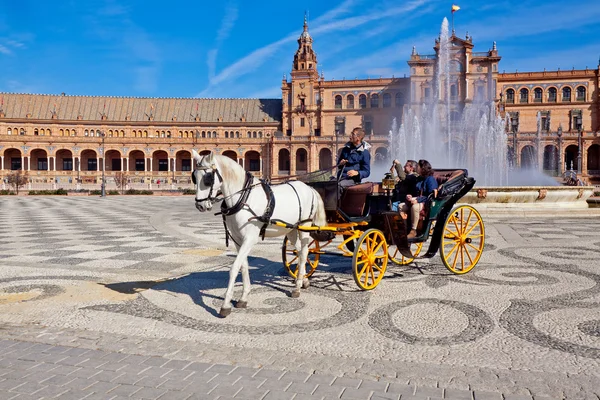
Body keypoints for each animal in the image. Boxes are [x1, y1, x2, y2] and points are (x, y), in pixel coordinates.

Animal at [192, 152, 326, 318]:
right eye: (194, 176)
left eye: (208, 177)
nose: (200, 205)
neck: (243, 198)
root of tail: (309, 187)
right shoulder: (238, 240)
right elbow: (243, 266)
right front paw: (243, 298)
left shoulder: (250, 239)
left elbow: (234, 268)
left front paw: (225, 305)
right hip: (292, 229)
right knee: (300, 251)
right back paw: (303, 281)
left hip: (305, 226)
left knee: (304, 252)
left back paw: (297, 288)